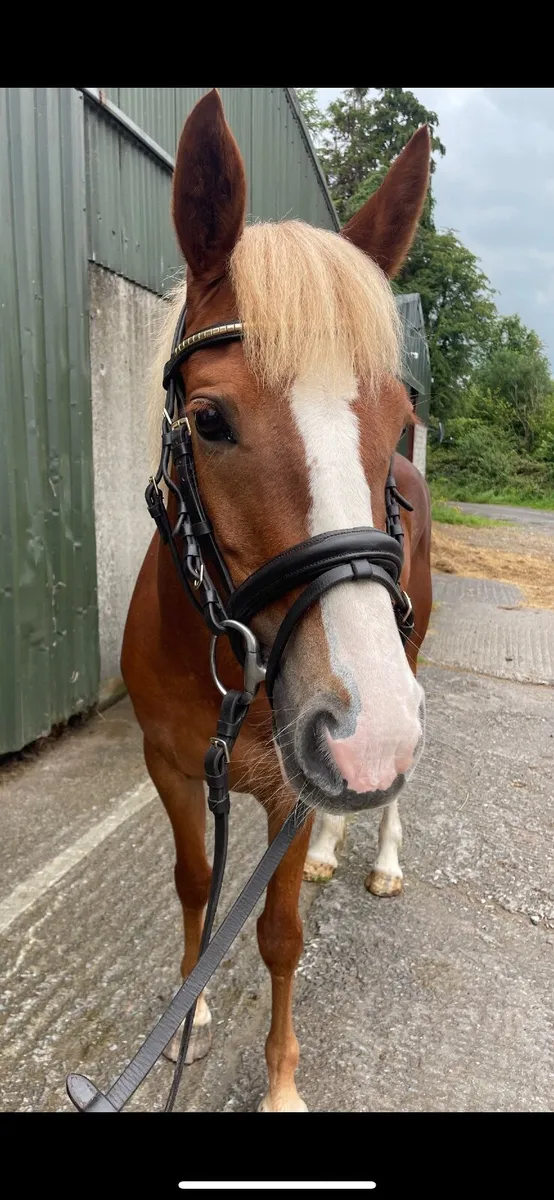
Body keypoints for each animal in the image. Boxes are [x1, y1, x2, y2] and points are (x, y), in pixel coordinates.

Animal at [121, 88, 432, 1113]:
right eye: (209, 419)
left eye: (398, 416)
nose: (366, 728)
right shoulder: (174, 766)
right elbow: (193, 884)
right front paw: (191, 1017)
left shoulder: (292, 783)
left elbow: (279, 934)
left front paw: (283, 1083)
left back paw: (379, 859)